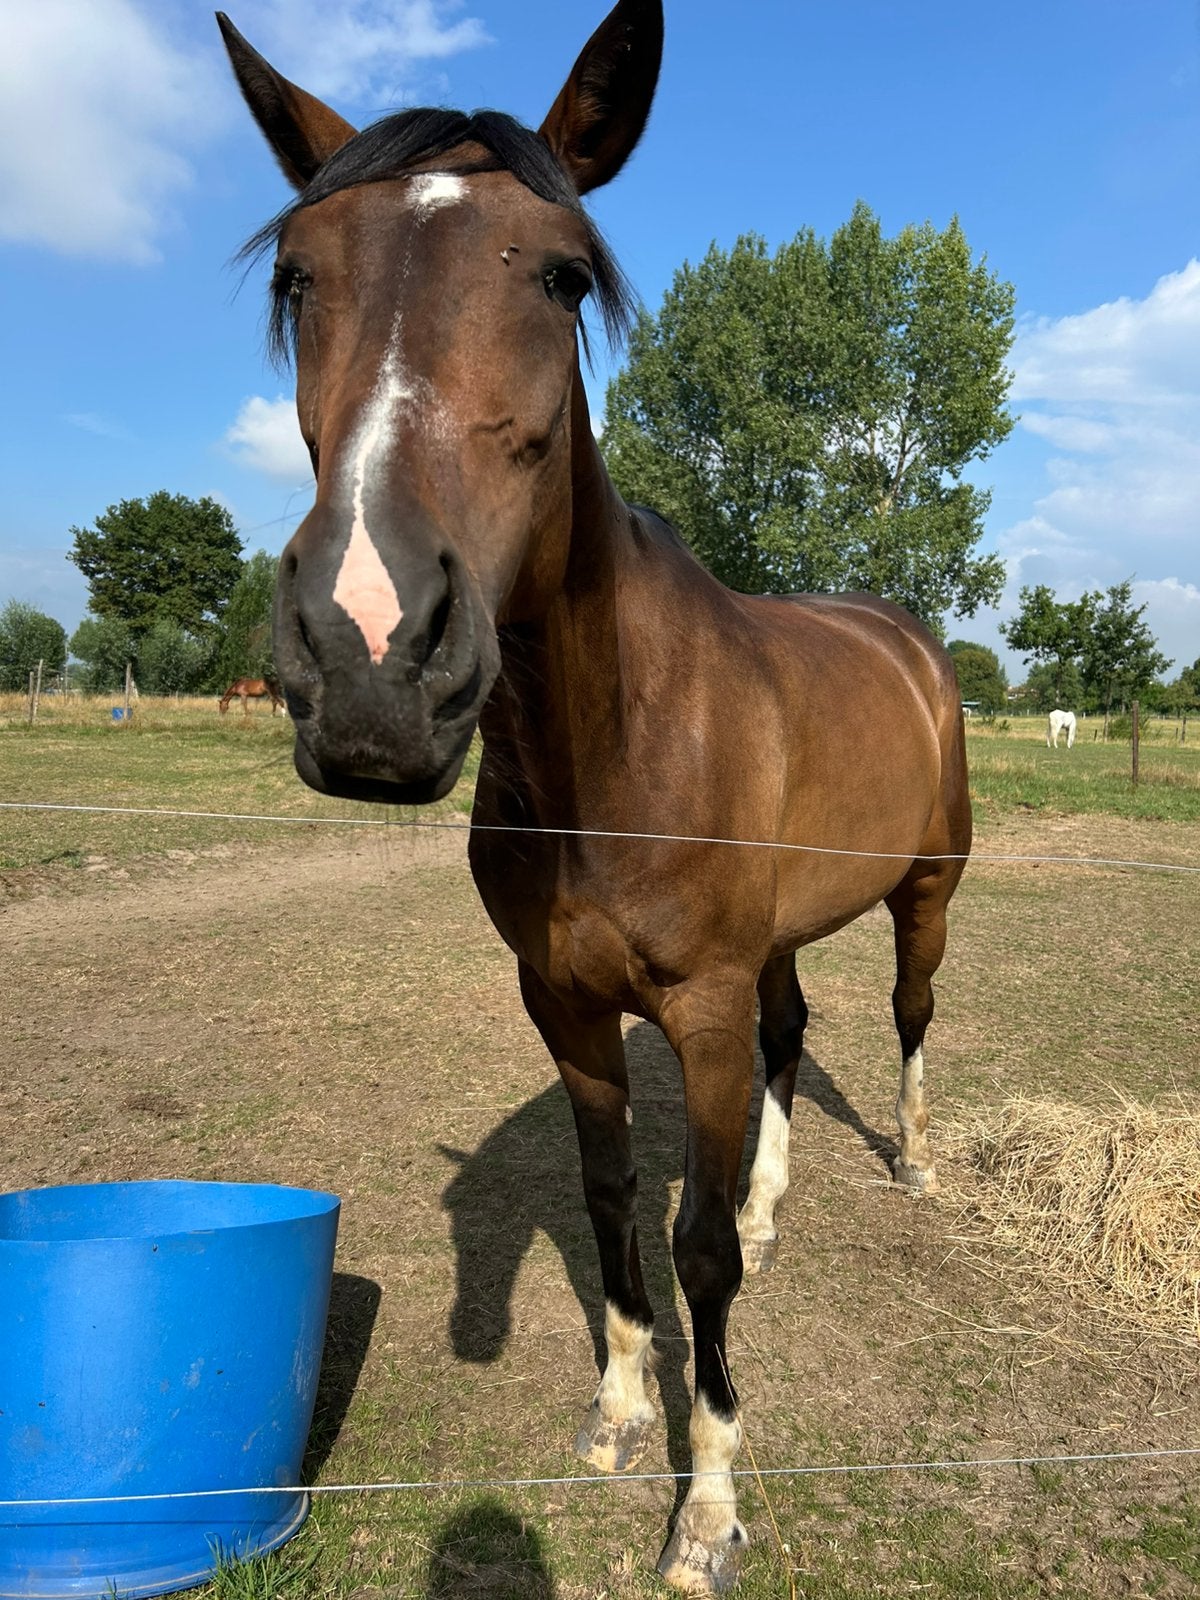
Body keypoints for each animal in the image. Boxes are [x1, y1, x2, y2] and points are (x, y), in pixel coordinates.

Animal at [220, 3, 971, 1588]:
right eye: (299, 275)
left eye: (563, 274)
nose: (371, 657)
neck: (611, 750)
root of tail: (907, 639)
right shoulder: (565, 1004)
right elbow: (620, 1200)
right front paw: (622, 1411)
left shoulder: (696, 1007)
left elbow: (699, 1255)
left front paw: (710, 1504)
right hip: (777, 946)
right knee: (796, 1034)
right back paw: (774, 1192)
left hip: (926, 895)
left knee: (907, 1018)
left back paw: (918, 1165)